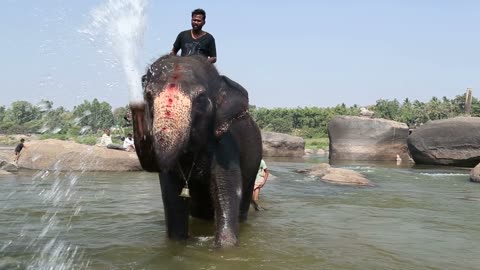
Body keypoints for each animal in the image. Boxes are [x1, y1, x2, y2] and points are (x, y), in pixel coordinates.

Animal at [131, 54, 262, 247]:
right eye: (148, 95)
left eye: (200, 98)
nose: (135, 107)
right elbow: (172, 197)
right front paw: (177, 244)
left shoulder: (225, 144)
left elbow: (227, 191)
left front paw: (226, 247)